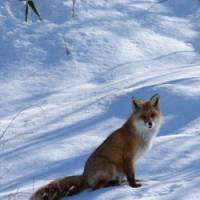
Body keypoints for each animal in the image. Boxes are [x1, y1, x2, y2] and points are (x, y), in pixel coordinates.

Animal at [31, 94, 162, 200]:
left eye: (152, 115)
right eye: (143, 116)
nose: (150, 124)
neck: (140, 134)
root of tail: (84, 175)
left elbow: (131, 175)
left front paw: (136, 182)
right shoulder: (128, 157)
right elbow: (131, 175)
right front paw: (134, 186)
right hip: (110, 166)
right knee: (94, 188)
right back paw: (110, 185)